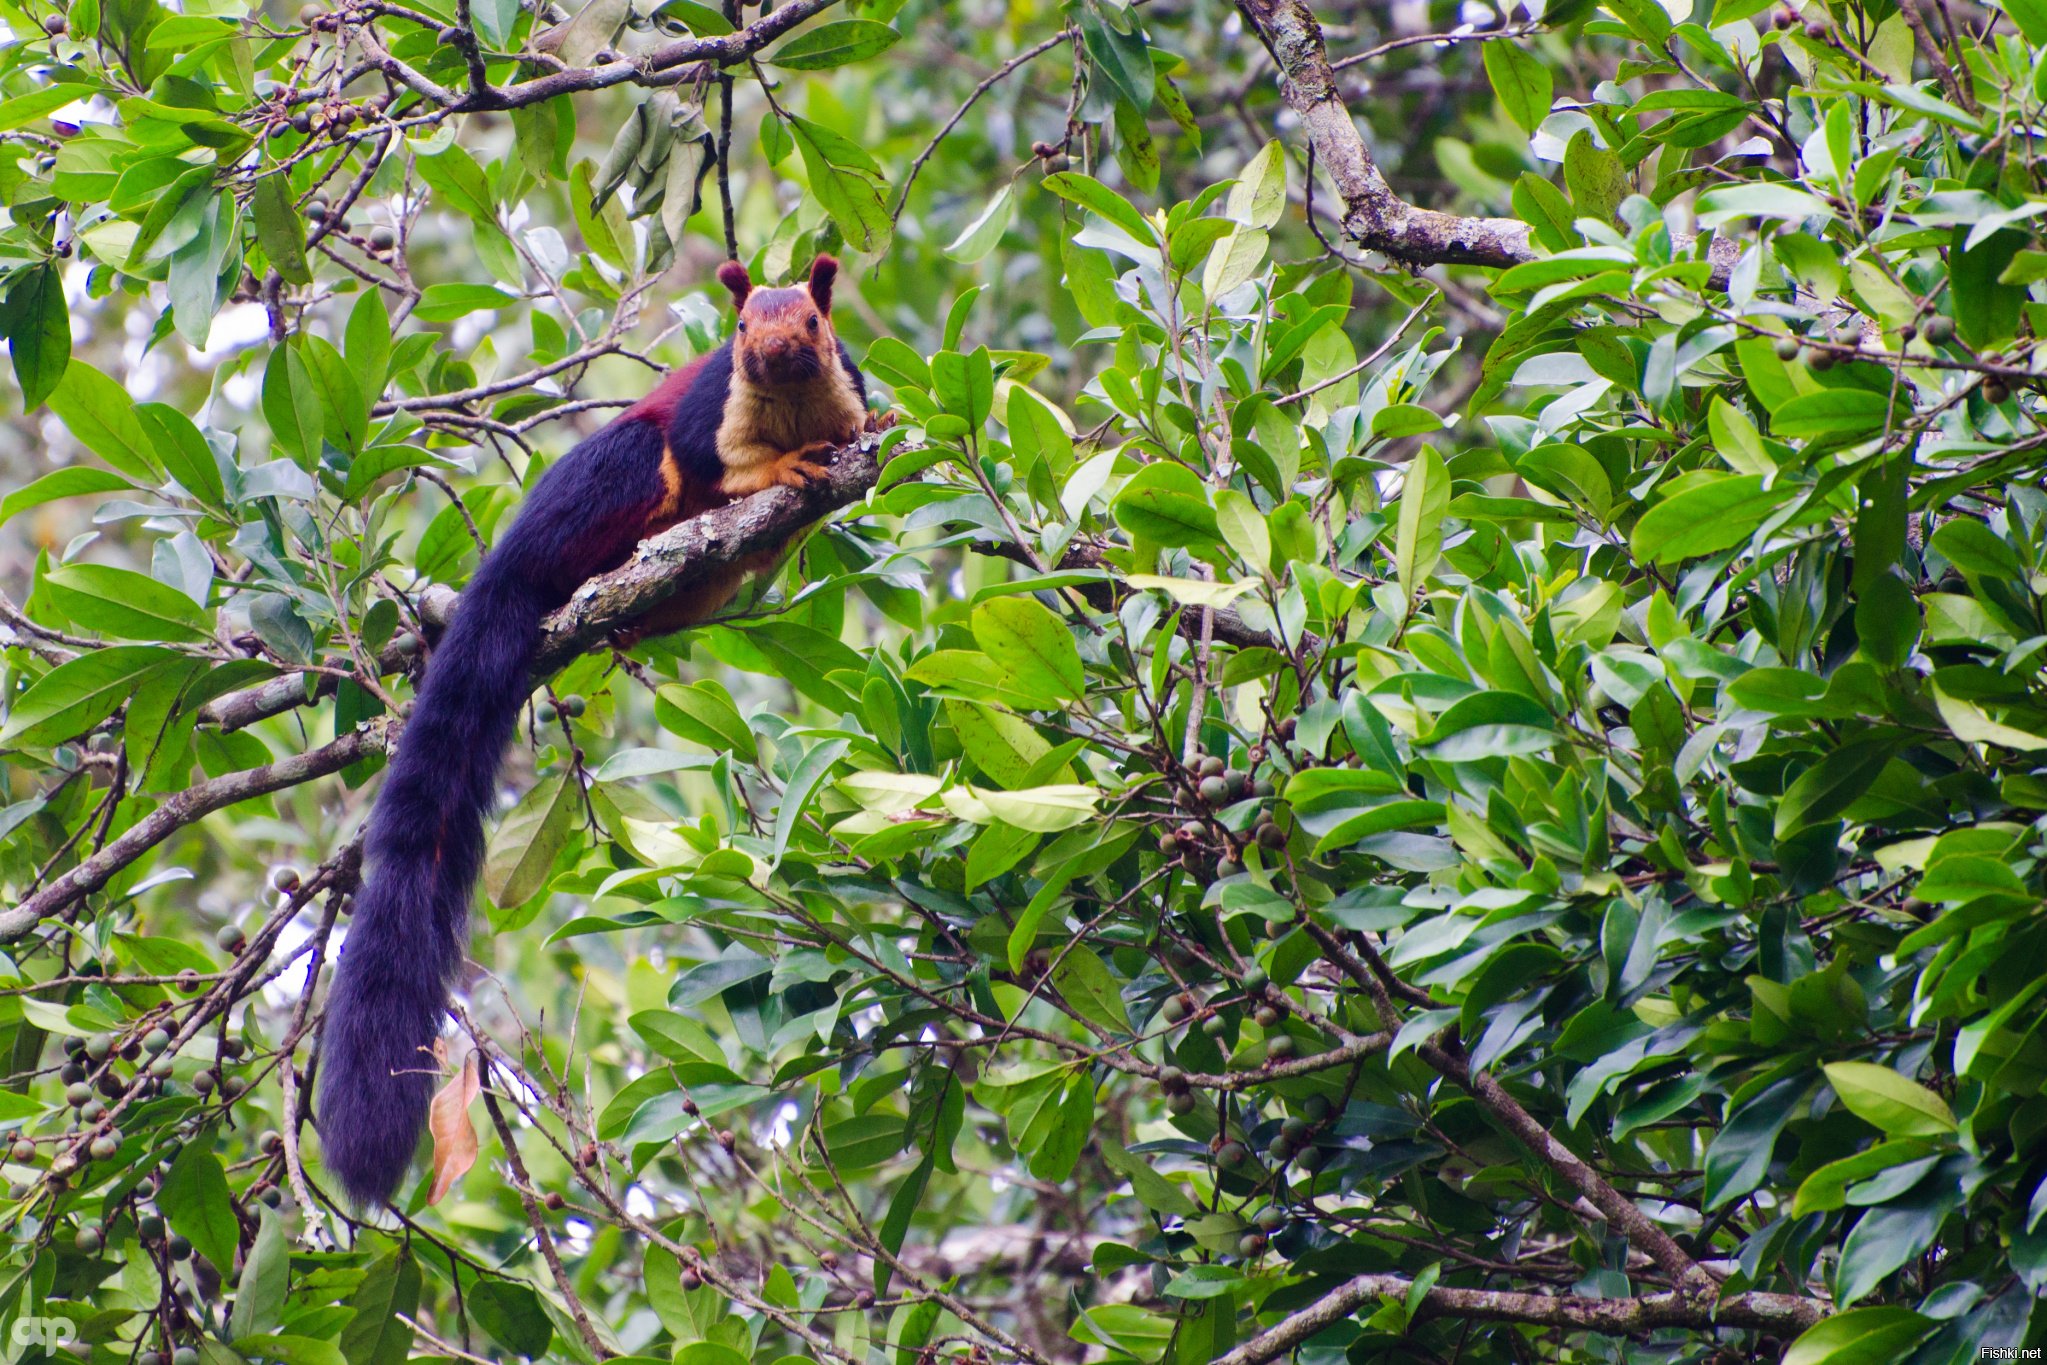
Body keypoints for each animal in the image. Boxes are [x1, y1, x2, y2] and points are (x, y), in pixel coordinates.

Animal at [315, 255, 876, 1203]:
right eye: (739, 330)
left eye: (810, 323)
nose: (767, 356)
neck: (794, 405)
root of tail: (504, 563)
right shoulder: (708, 416)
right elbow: (722, 468)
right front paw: (782, 467)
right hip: (614, 479)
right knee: (639, 482)